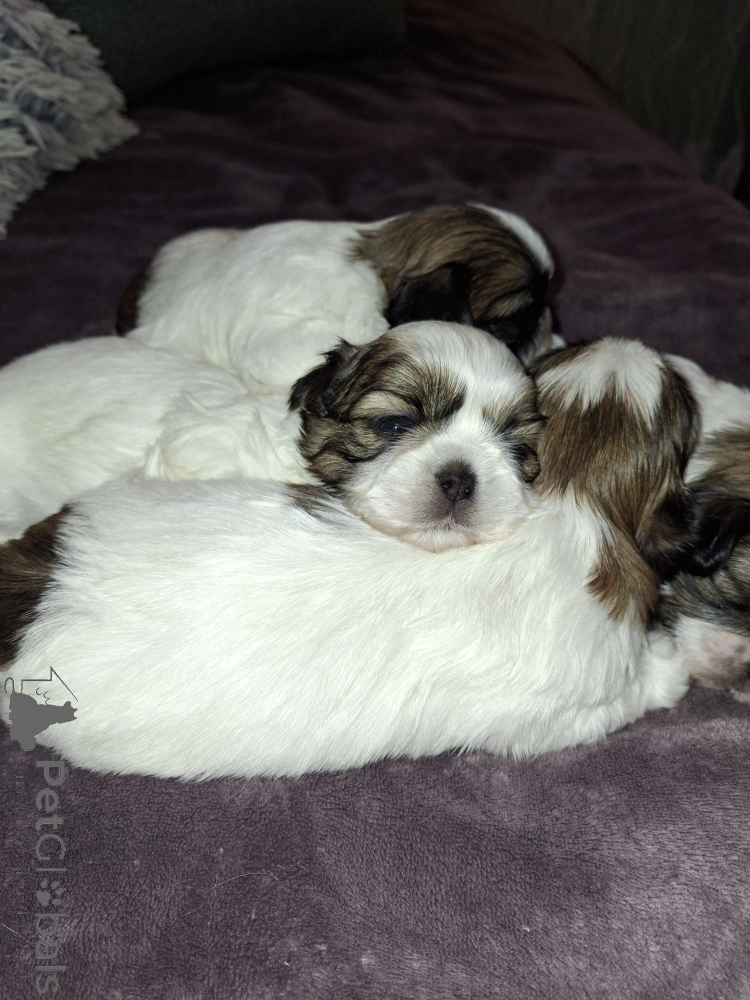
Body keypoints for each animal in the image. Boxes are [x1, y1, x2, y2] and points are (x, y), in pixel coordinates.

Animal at [0, 337, 704, 779]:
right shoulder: (569, 704)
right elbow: (635, 692)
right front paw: (670, 666)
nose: (631, 342)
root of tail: (39, 590)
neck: (575, 491)